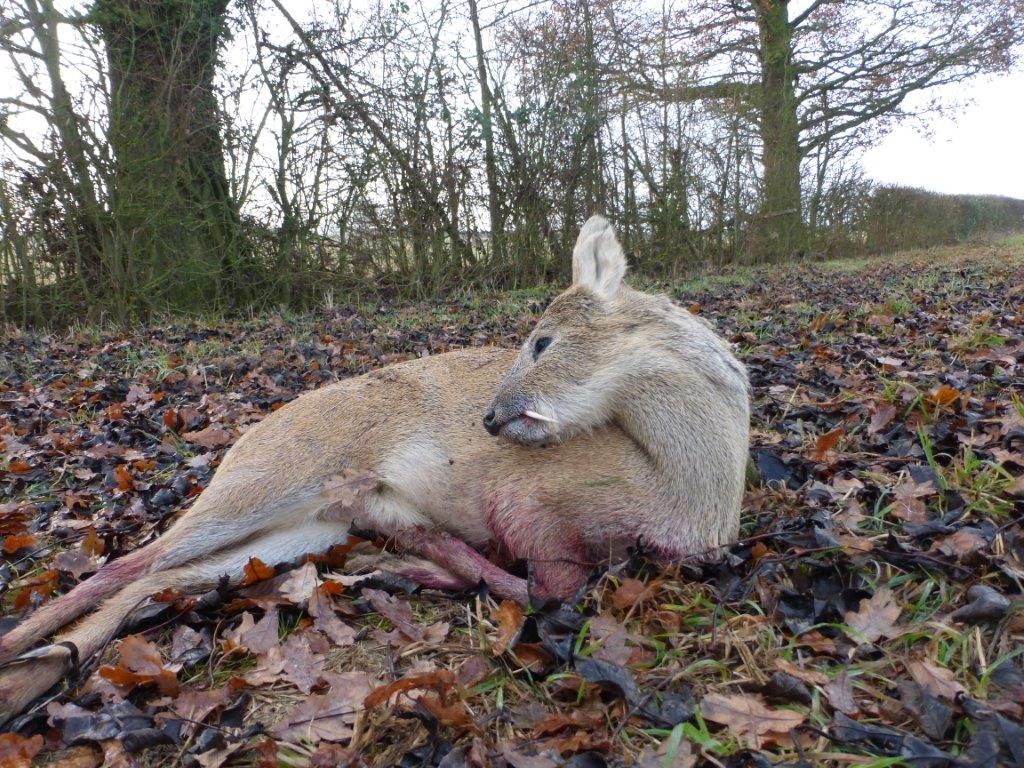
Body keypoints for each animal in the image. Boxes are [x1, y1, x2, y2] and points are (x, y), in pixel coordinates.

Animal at [0, 216, 750, 723]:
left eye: (542, 341)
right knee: (133, 562)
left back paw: (34, 673)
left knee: (159, 578)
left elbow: (542, 586)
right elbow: (547, 591)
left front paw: (397, 563)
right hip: (270, 477)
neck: (685, 497)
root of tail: (246, 438)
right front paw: (408, 562)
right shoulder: (528, 503)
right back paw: (19, 665)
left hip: (305, 526)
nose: (488, 418)